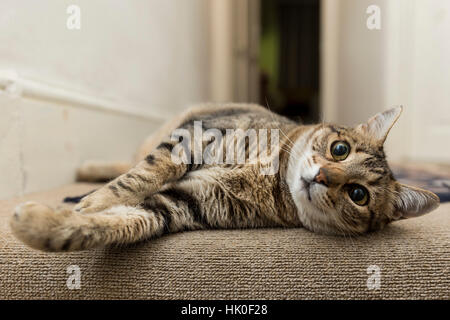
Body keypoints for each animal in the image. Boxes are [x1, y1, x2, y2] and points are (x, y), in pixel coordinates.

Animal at [9, 104, 440, 251]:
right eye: (339, 149)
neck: (270, 178)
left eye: (358, 195)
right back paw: (86, 172)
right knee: (128, 163)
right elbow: (142, 175)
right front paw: (90, 200)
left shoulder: (184, 204)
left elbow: (123, 221)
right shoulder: (196, 136)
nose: (321, 177)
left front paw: (40, 223)